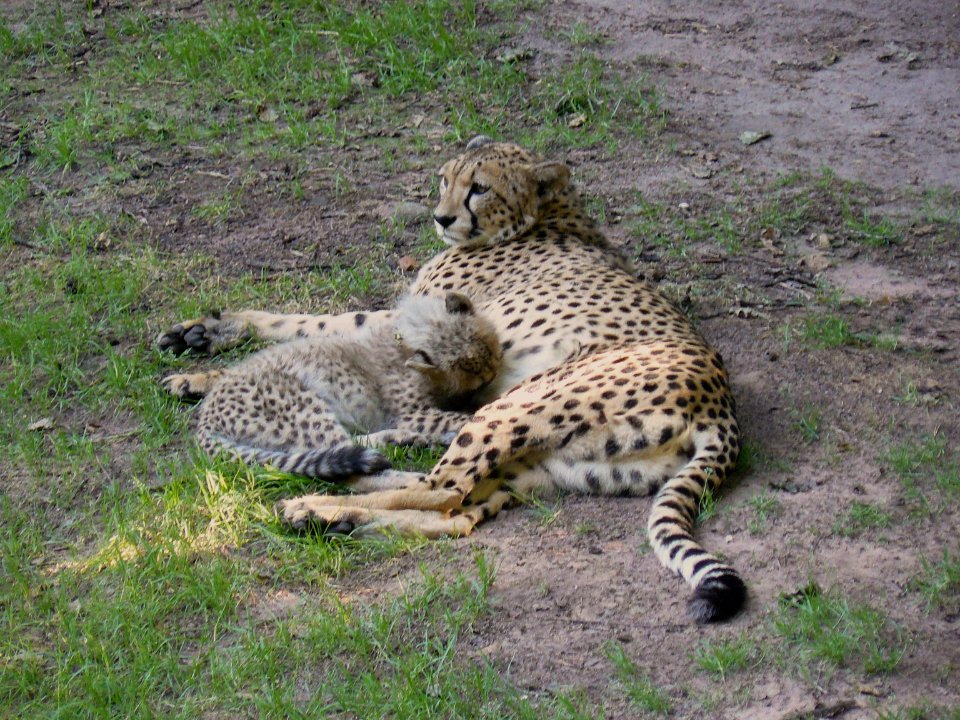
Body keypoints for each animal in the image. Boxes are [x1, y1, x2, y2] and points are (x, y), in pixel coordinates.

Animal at [156, 138, 744, 620]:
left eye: (479, 188)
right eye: (446, 179)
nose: (440, 218)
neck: (548, 215)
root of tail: (721, 407)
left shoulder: (417, 317)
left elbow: (324, 323)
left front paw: (207, 358)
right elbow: (315, 327)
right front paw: (199, 351)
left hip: (516, 406)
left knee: (441, 487)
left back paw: (318, 501)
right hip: (550, 466)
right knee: (456, 515)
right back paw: (343, 507)